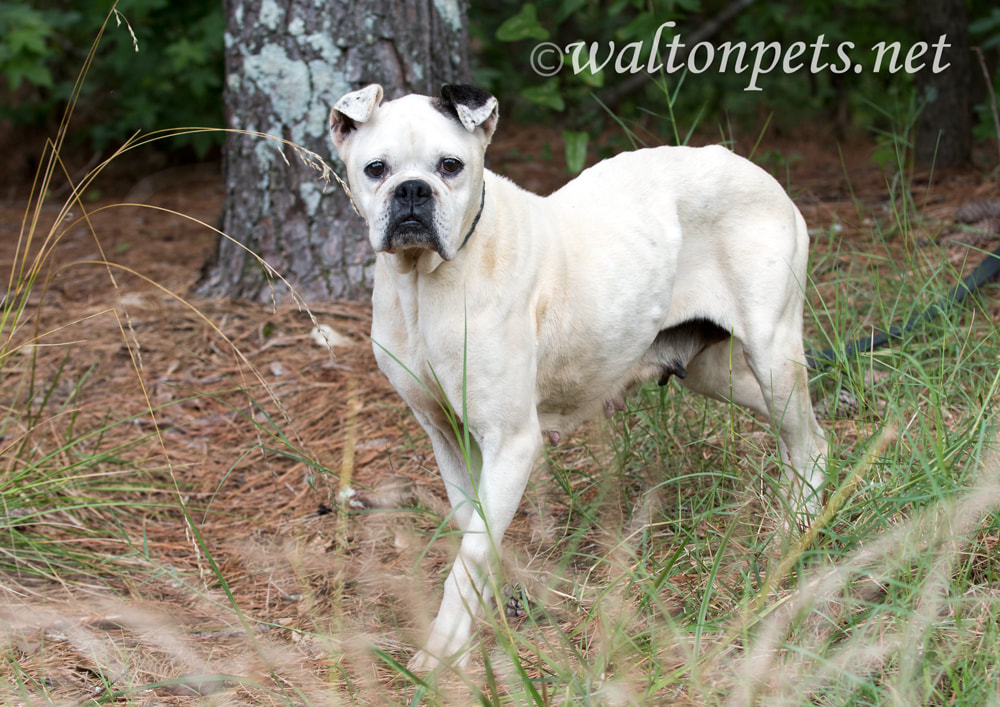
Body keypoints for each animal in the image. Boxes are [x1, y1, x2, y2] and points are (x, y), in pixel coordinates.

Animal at [328, 85, 828, 672]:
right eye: (376, 169)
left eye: (450, 166)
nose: (412, 191)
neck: (424, 287)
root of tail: (758, 172)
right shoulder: (447, 436)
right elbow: (473, 531)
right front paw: (492, 615)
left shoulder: (511, 442)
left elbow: (470, 555)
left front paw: (442, 653)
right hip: (714, 373)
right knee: (805, 434)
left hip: (772, 355)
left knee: (807, 441)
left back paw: (797, 531)